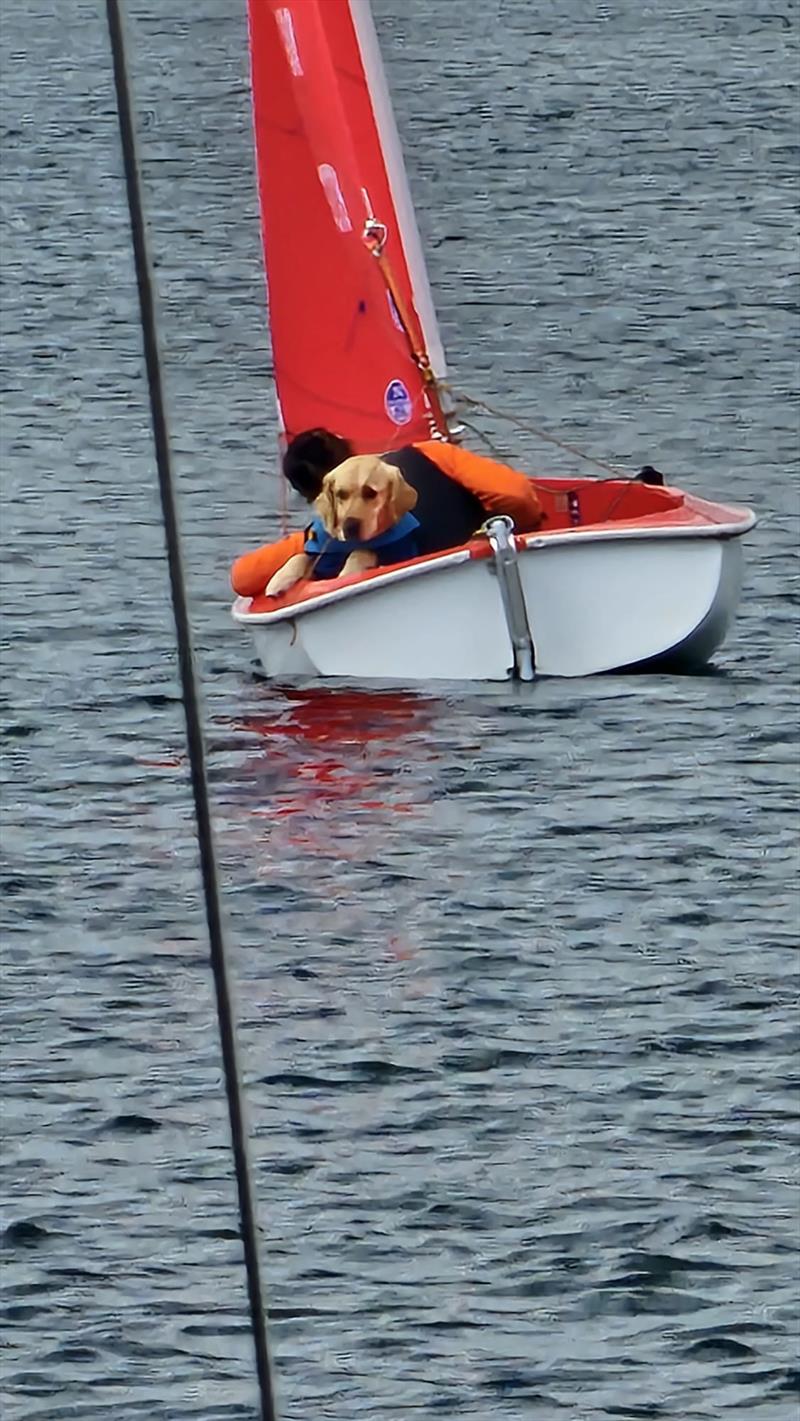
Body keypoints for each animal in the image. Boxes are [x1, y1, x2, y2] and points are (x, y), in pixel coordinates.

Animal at [267, 457, 420, 596]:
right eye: (341, 494)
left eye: (371, 492)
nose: (350, 526)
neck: (345, 547)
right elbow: (299, 556)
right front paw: (279, 579)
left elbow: (362, 551)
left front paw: (349, 571)